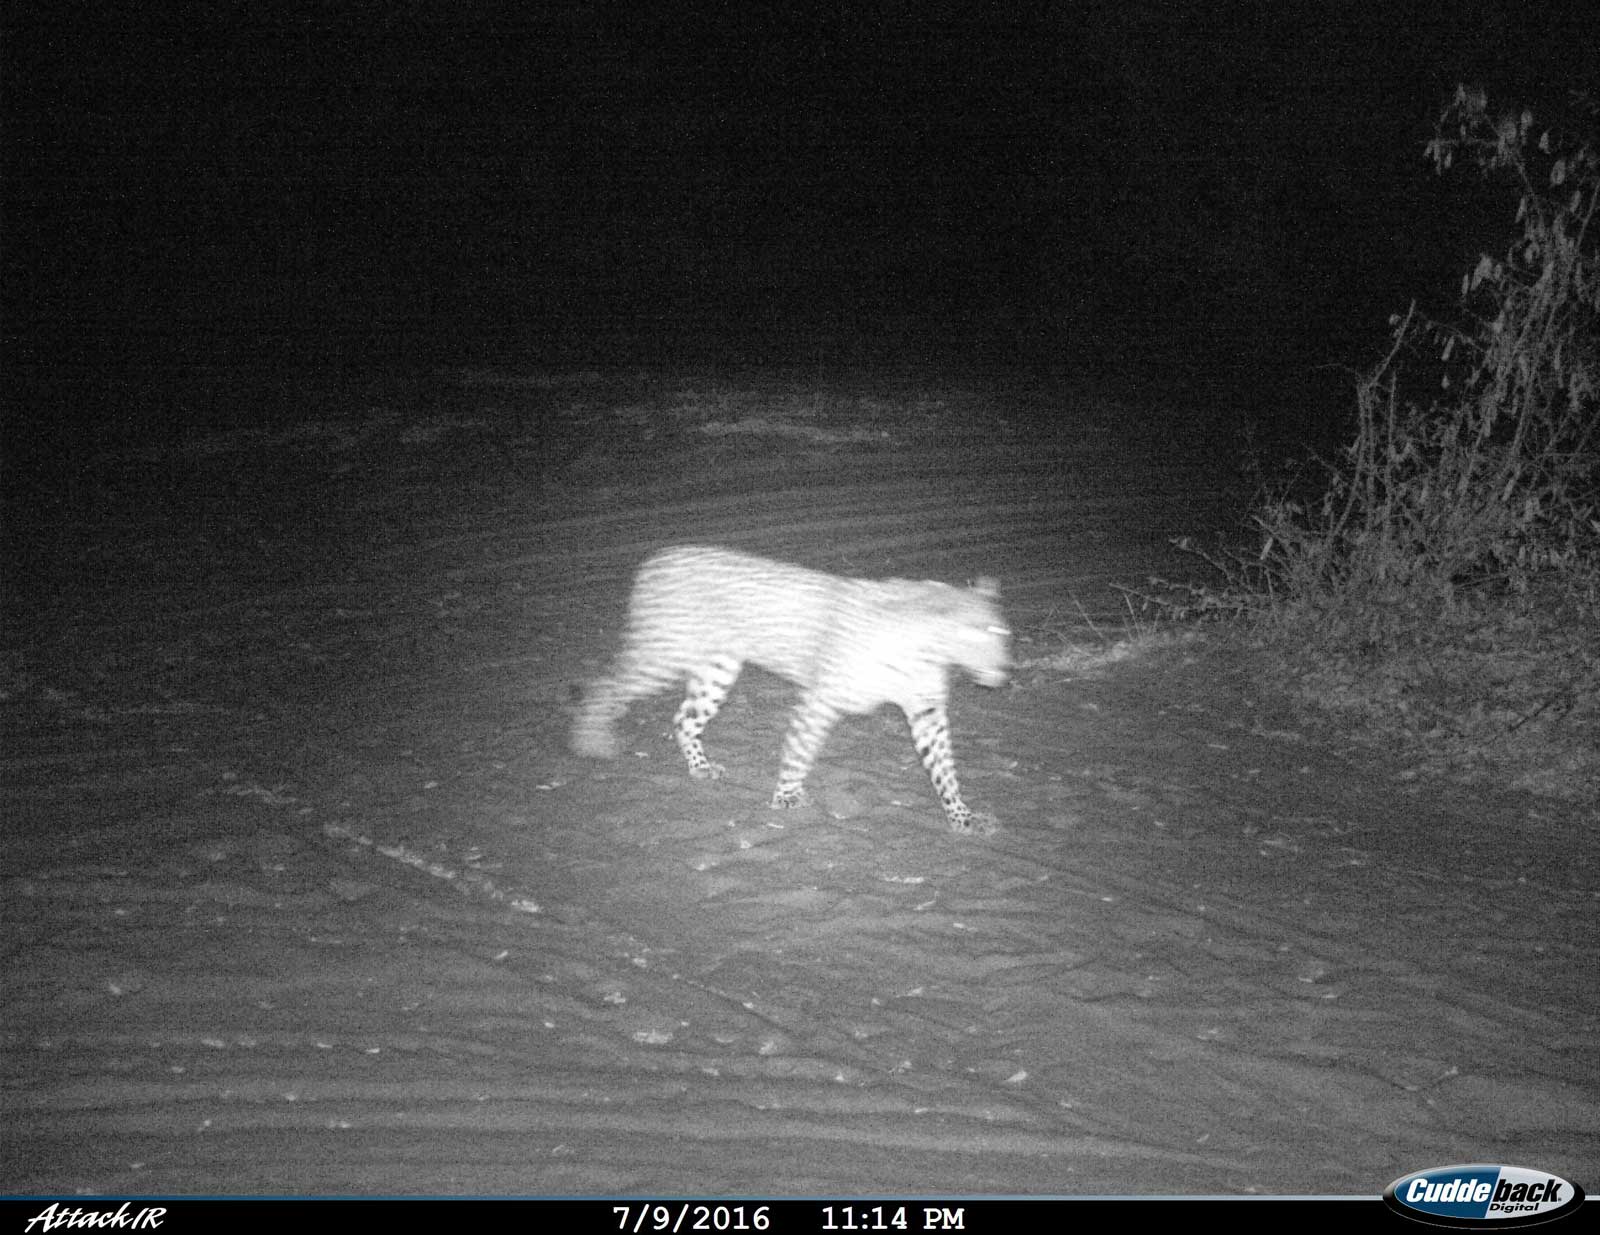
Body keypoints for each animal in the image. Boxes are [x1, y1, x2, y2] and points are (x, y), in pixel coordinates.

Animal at [571, 545, 1010, 835]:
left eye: (1002, 631)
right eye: (979, 632)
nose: (1006, 670)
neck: (927, 649)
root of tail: (658, 557)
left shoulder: (927, 713)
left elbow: (944, 770)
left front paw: (962, 816)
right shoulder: (821, 698)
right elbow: (801, 750)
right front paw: (786, 797)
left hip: (718, 669)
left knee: (684, 719)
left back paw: (700, 767)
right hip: (664, 654)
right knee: (607, 683)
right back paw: (592, 739)